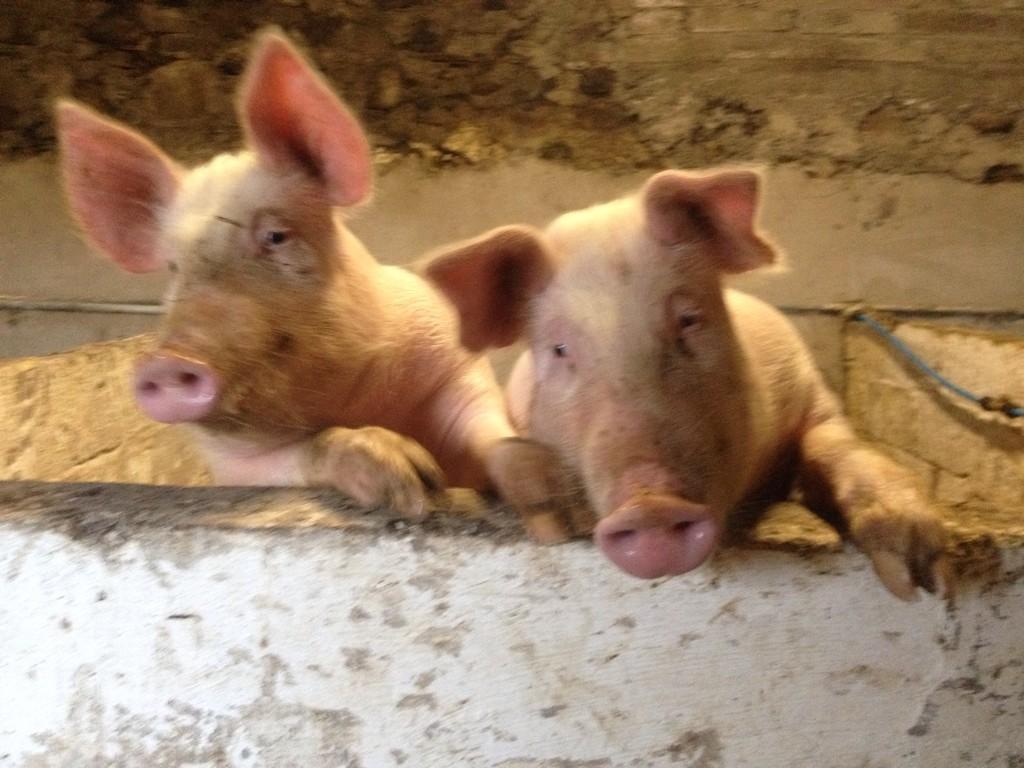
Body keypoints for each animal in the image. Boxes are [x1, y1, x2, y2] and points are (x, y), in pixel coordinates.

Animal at [55, 28, 580, 542]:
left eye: (276, 236)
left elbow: (491, 431)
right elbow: (306, 450)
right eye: (172, 267)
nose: (166, 361)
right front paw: (409, 482)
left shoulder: (453, 365)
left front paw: (556, 510)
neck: (353, 394)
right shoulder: (234, 464)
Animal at [421, 168, 951, 601]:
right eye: (559, 349)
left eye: (689, 319)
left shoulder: (812, 395)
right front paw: (554, 522)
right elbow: (506, 454)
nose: (650, 506)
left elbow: (836, 445)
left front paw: (920, 578)